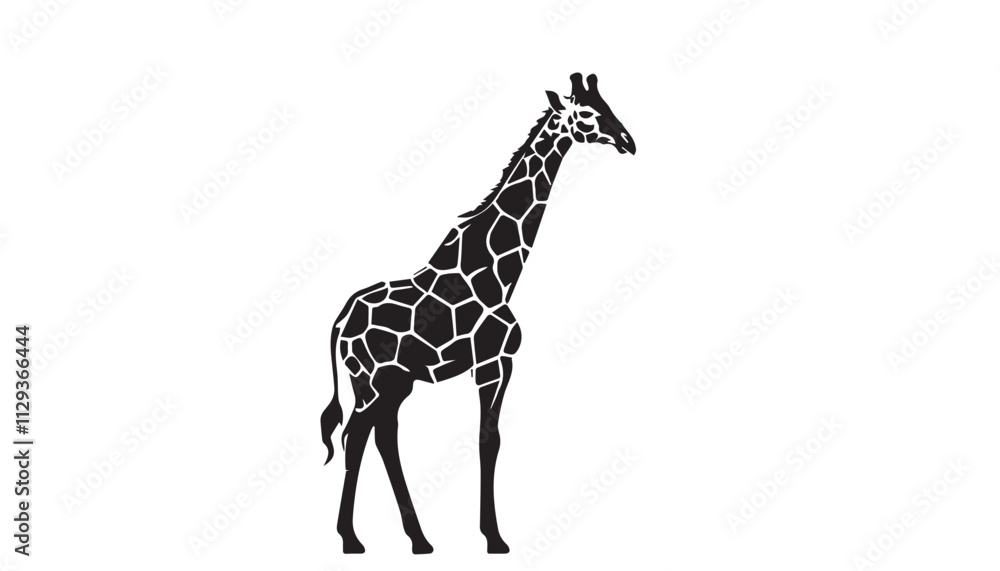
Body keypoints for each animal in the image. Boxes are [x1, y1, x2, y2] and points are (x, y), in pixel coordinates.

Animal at [321, 73, 635, 554]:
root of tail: (338, 322)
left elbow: (490, 439)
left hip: (392, 384)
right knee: (356, 437)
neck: (499, 273)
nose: (627, 141)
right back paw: (352, 540)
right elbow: (490, 439)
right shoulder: (494, 363)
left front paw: (489, 534)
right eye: (586, 113)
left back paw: (418, 540)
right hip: (372, 382)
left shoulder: (492, 365)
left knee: (382, 437)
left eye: (607, 105)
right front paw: (495, 538)